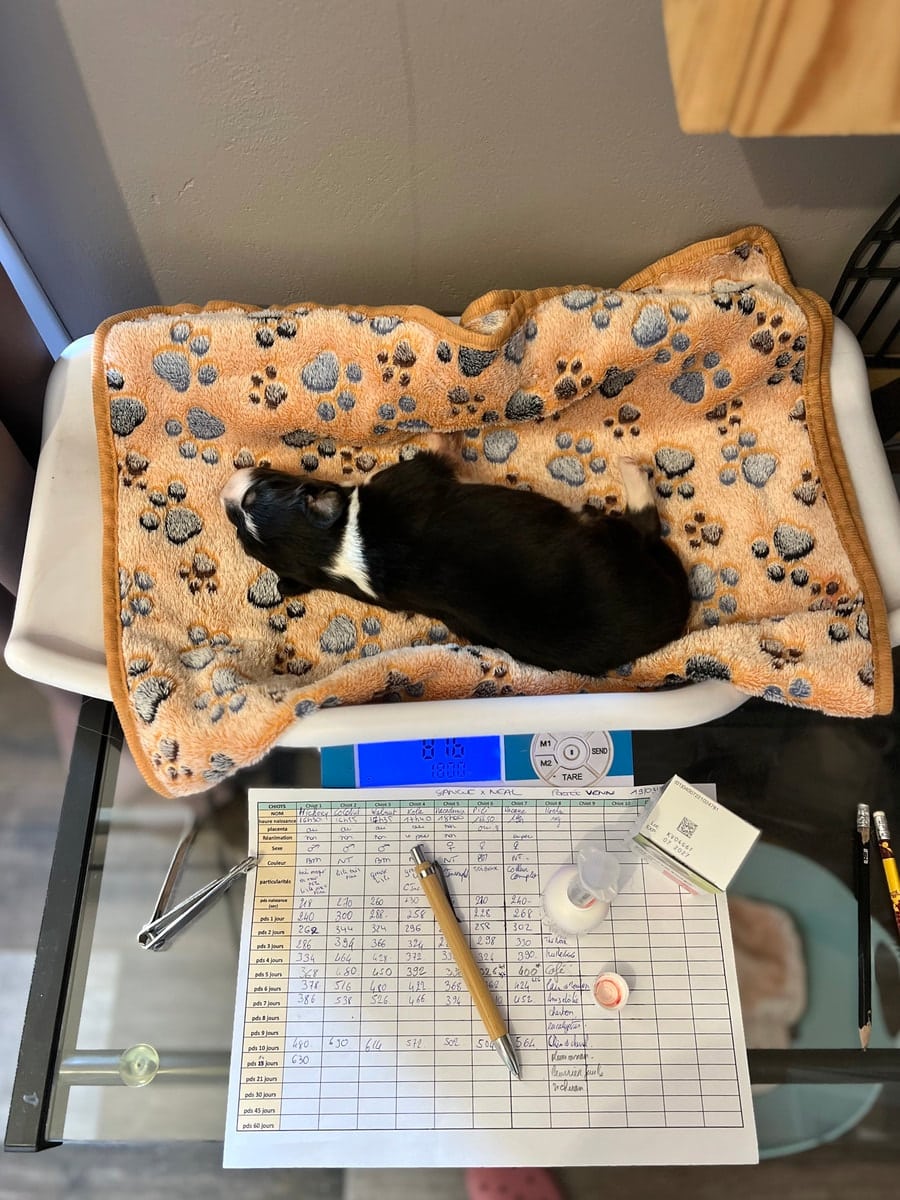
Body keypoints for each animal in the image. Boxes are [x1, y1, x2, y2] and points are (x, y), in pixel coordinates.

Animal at [221, 450, 690, 676]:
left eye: (251, 500)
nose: (225, 492)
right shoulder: (412, 475)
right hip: (614, 541)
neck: (335, 546)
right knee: (644, 522)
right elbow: (437, 453)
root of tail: (671, 620)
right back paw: (631, 476)